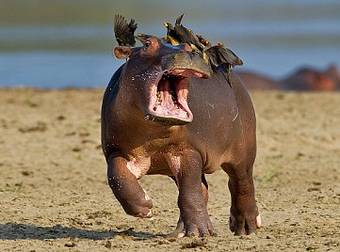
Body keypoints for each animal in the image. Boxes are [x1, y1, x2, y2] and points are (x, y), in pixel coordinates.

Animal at [101, 34, 260, 237]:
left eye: (188, 46)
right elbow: (117, 175)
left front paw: (200, 232)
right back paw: (180, 231)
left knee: (241, 183)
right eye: (147, 44)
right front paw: (145, 207)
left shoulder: (188, 150)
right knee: (203, 189)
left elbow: (190, 190)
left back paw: (245, 228)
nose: (188, 53)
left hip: (244, 151)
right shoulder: (116, 149)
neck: (154, 134)